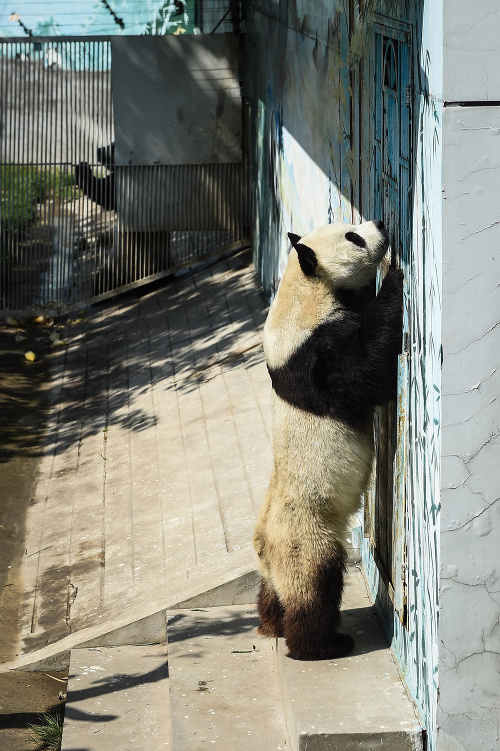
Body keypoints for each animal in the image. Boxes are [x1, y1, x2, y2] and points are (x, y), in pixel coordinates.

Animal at [254, 220, 402, 660]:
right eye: (353, 236)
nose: (381, 225)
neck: (305, 287)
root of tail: (266, 549)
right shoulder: (314, 352)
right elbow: (365, 370)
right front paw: (392, 277)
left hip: (273, 558)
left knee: (273, 593)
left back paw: (271, 624)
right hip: (307, 533)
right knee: (315, 583)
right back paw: (321, 644)